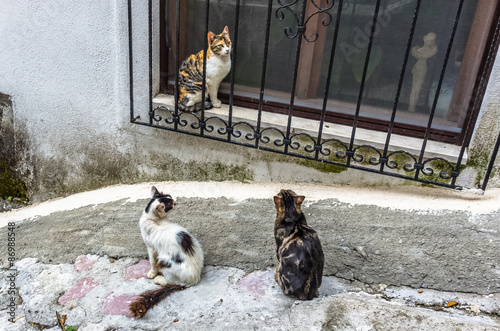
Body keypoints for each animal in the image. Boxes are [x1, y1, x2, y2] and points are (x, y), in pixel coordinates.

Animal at [131, 187, 205, 320]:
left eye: (171, 198)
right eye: (170, 204)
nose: (176, 201)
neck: (152, 219)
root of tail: (194, 279)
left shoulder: (151, 248)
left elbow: (152, 262)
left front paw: (152, 273)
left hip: (165, 262)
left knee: (170, 281)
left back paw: (159, 279)